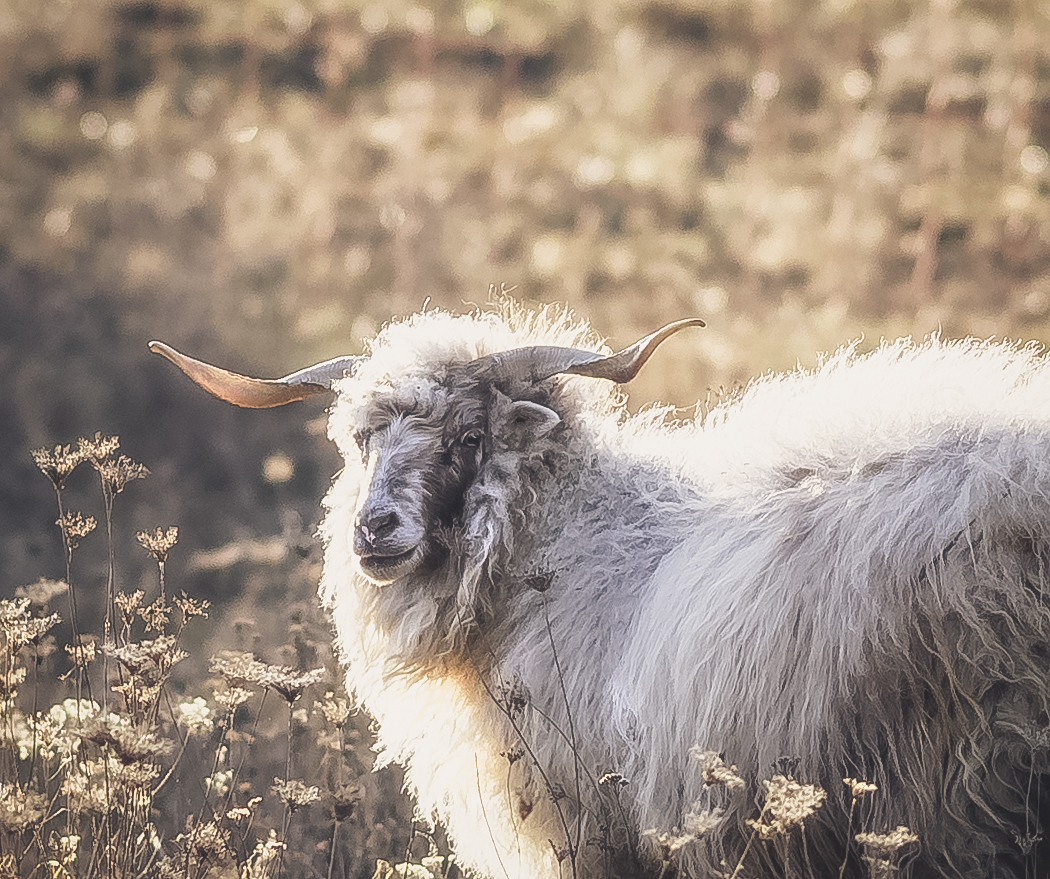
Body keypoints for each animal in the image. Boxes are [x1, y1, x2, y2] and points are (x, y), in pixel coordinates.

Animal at [150, 302, 1050, 877]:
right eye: (362, 441)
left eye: (469, 438)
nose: (374, 531)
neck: (573, 537)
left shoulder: (595, 825)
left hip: (970, 775)